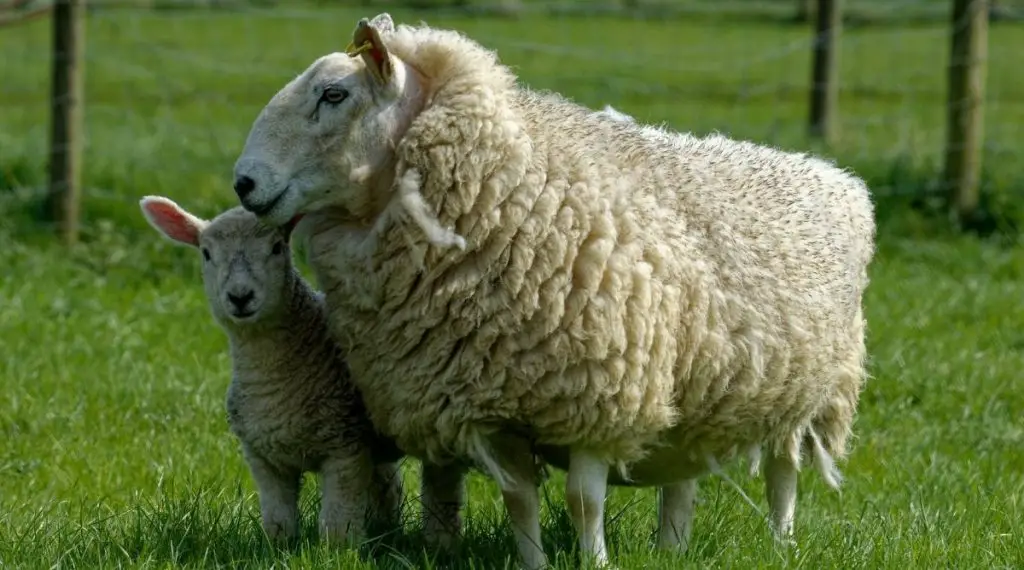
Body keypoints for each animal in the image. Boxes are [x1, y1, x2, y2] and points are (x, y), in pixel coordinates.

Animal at [139, 195, 464, 548]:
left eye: (277, 247)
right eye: (206, 253)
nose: (240, 296)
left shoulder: (345, 449)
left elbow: (336, 523)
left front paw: (341, 551)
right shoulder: (263, 458)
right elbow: (278, 521)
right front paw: (279, 547)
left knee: (442, 488)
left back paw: (441, 544)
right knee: (389, 485)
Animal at [228, 12, 876, 564]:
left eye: (334, 94)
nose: (244, 182)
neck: (501, 190)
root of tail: (835, 175)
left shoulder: (599, 394)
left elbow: (584, 502)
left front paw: (595, 561)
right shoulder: (490, 403)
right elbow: (520, 499)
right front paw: (533, 561)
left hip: (812, 392)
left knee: (783, 472)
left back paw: (781, 543)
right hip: (696, 389)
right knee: (685, 479)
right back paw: (672, 546)